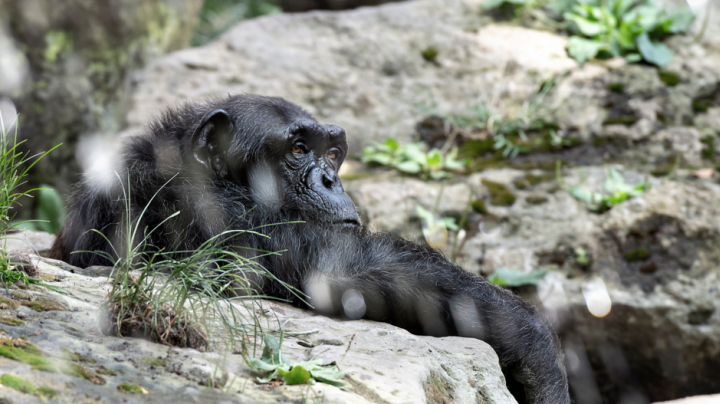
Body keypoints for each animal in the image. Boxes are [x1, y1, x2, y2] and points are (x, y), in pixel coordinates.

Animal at [49, 95, 568, 404]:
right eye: (298, 150)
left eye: (332, 153)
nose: (331, 178)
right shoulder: (226, 218)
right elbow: (352, 270)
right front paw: (540, 358)